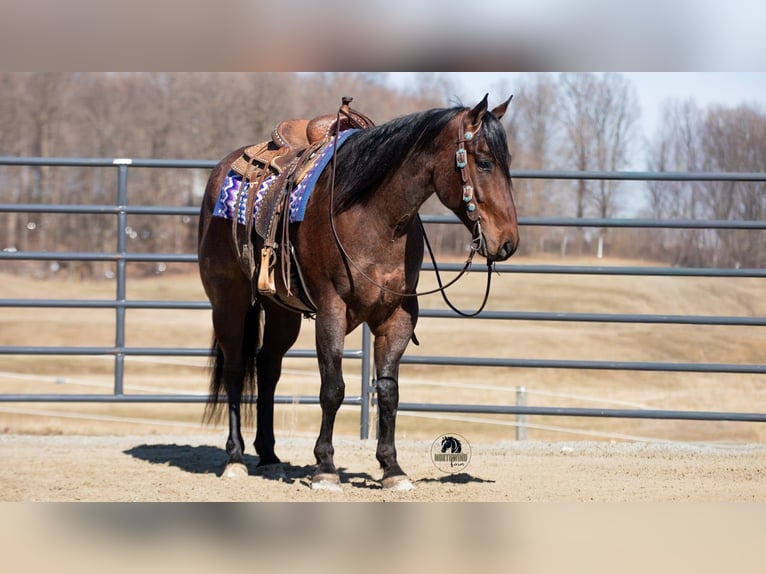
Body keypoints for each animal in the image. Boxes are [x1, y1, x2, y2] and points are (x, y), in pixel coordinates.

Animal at [197, 94, 519, 491]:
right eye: (485, 162)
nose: (508, 242)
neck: (374, 216)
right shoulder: (331, 311)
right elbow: (333, 389)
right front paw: (325, 467)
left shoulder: (397, 316)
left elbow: (389, 391)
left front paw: (392, 468)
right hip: (228, 302)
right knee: (235, 369)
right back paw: (236, 458)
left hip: (281, 313)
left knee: (268, 368)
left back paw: (270, 457)